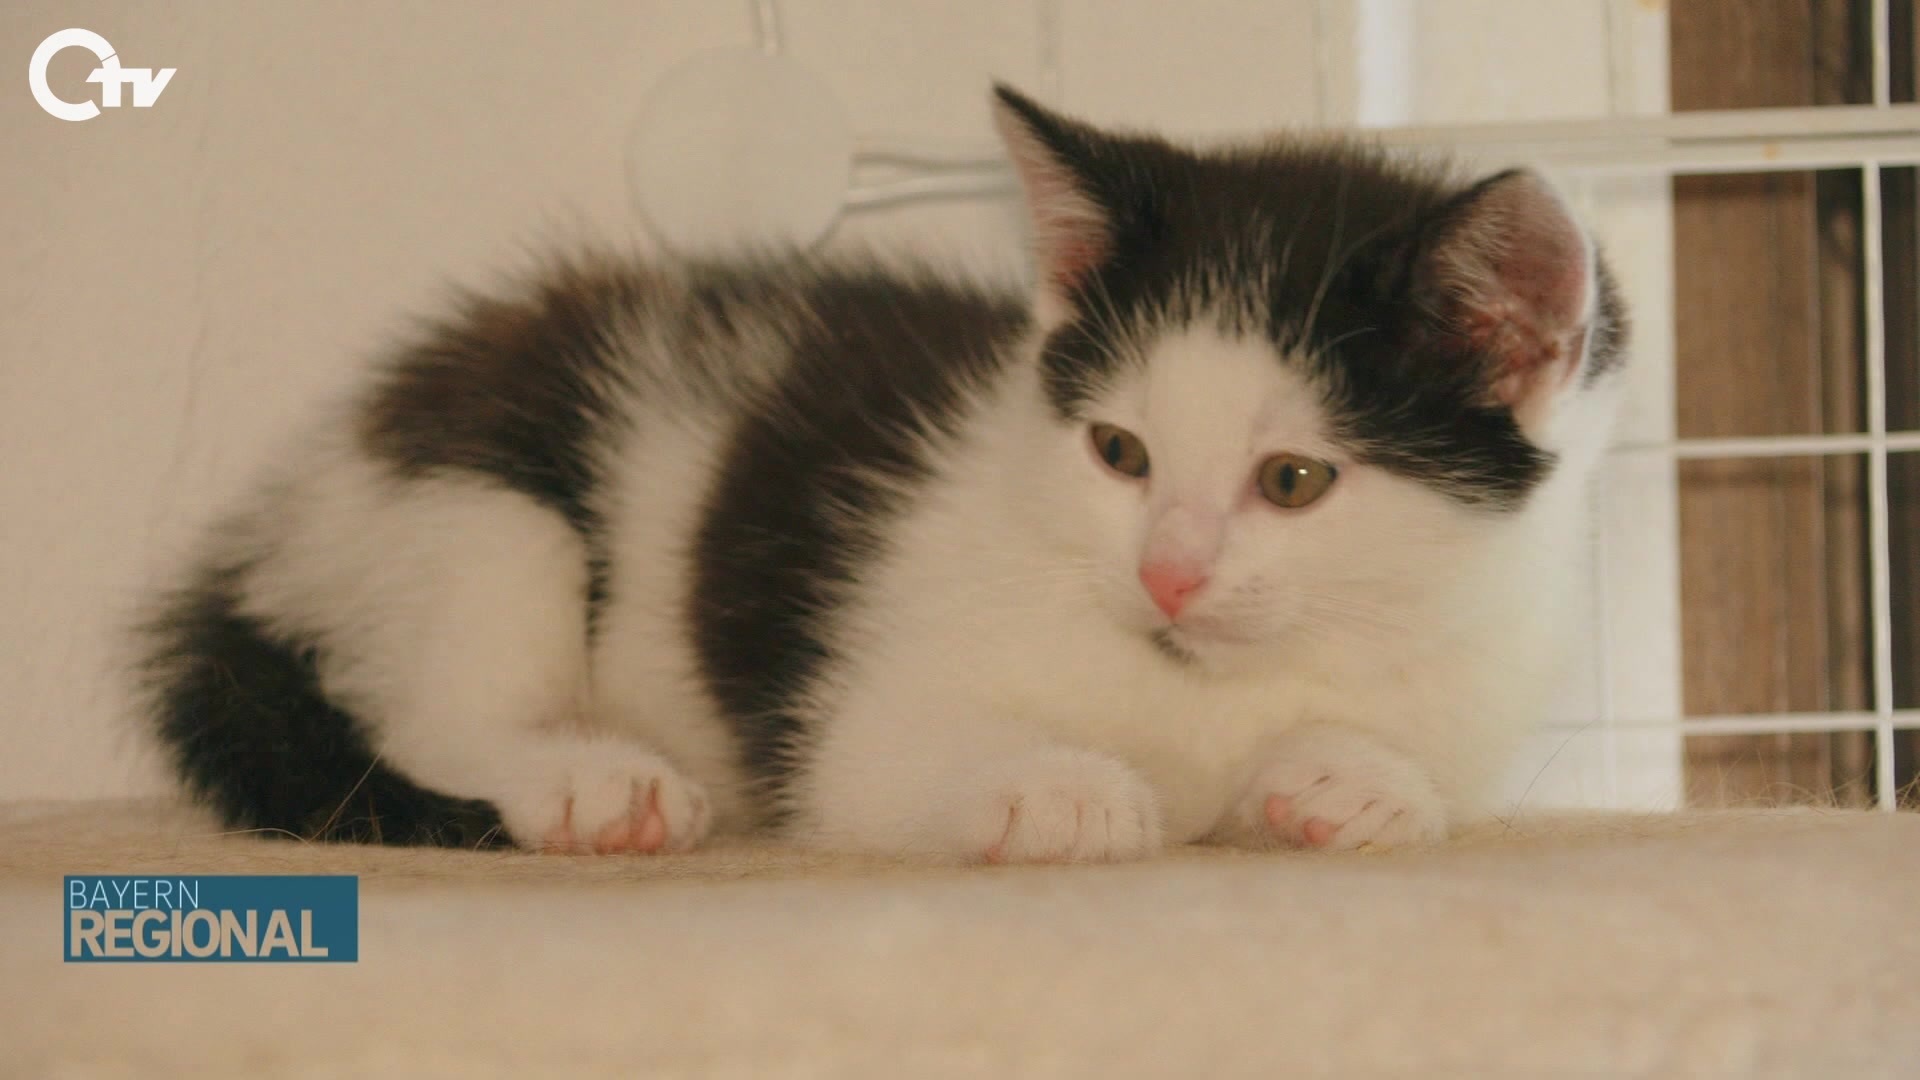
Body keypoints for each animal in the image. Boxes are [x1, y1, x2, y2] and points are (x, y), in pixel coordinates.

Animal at [136, 85, 1626, 862]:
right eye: (1120, 452)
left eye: (1296, 482)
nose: (1166, 573)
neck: (1210, 686)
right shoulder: (857, 716)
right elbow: (888, 758)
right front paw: (1060, 786)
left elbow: (1425, 779)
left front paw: (1355, 782)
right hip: (482, 503)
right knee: (428, 710)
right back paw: (589, 782)